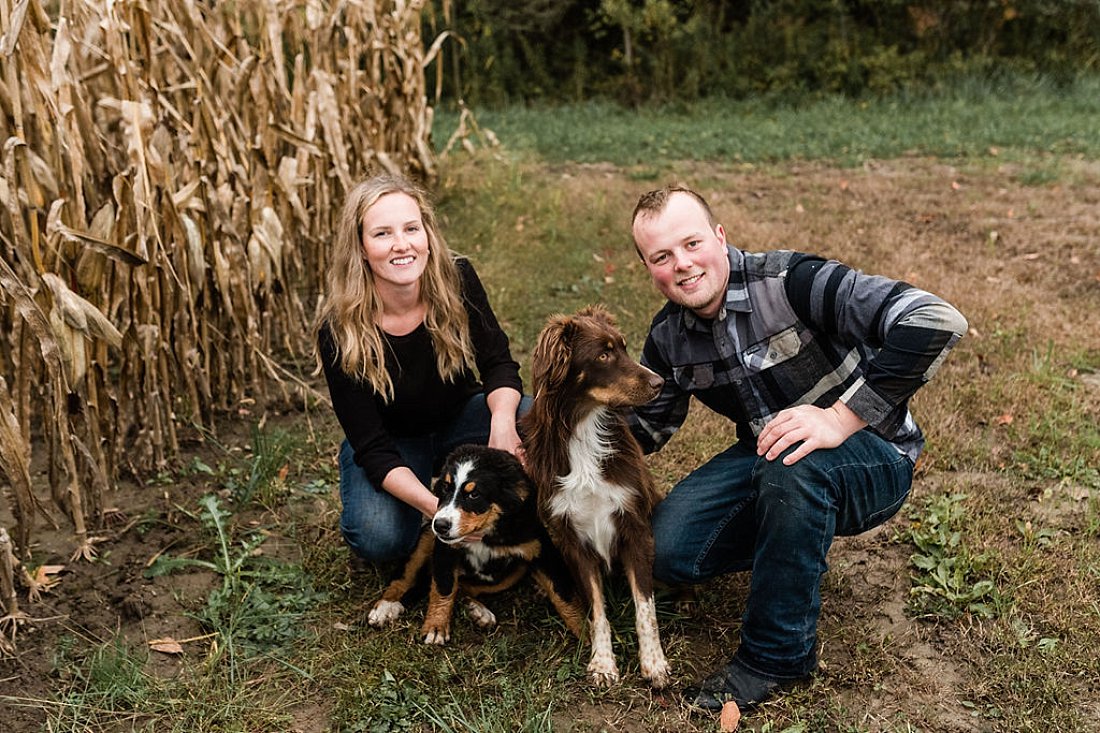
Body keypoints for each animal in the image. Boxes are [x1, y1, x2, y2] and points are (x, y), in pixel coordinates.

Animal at [521, 301, 668, 686]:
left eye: (624, 348)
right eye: (603, 354)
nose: (660, 383)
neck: (585, 428)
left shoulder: (635, 526)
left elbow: (644, 607)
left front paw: (654, 663)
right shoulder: (573, 539)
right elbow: (597, 610)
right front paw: (602, 663)